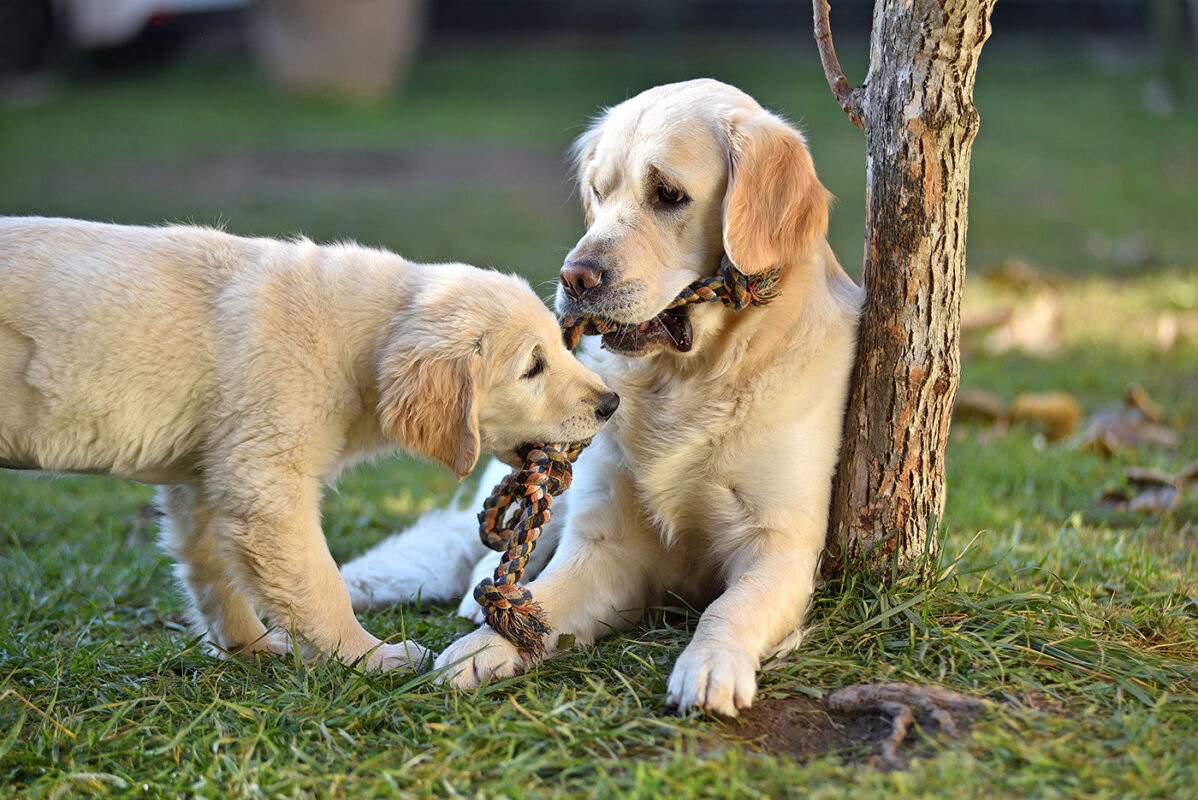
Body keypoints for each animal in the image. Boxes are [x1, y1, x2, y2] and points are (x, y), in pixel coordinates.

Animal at [0, 215, 618, 670]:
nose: (611, 403)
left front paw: (249, 648)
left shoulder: (205, 479)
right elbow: (320, 584)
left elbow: (212, 572)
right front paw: (371, 657)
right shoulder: (267, 484)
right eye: (532, 367)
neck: (356, 340)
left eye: (559, 348)